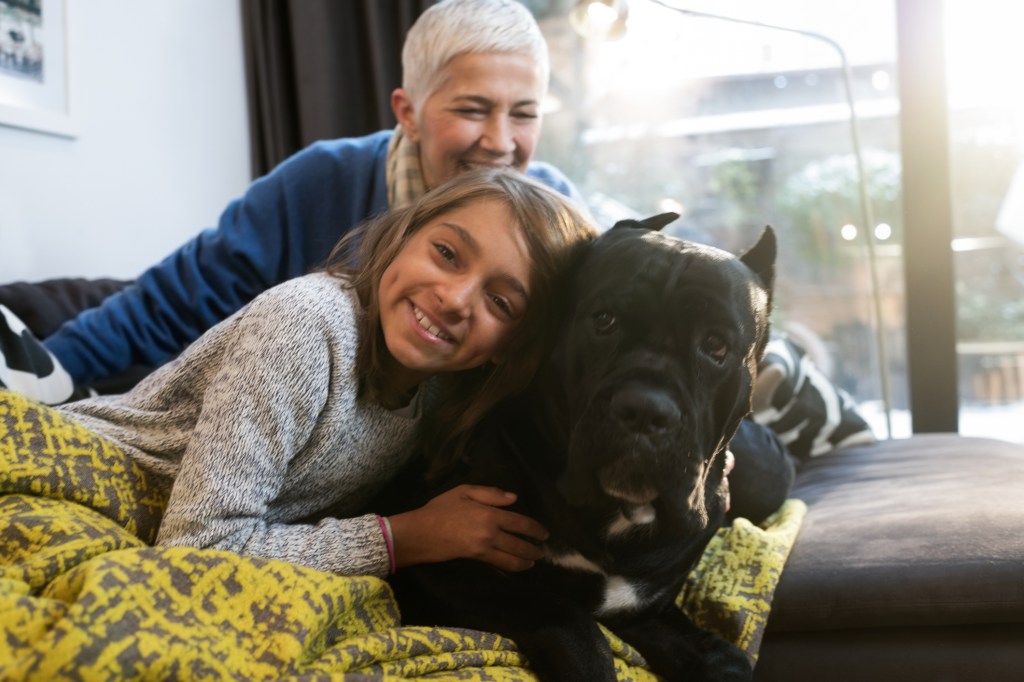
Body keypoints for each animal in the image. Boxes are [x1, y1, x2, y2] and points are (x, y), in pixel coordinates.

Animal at [389, 214, 774, 679]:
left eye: (716, 346)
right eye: (604, 320)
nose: (647, 409)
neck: (615, 522)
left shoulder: (649, 612)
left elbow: (726, 656)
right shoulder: (441, 564)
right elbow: (568, 620)